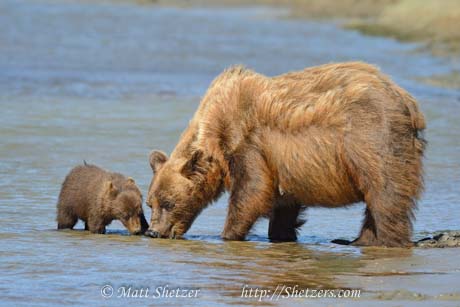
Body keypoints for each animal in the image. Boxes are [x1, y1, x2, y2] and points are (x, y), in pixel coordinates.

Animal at [146, 62, 426, 248]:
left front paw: (227, 234)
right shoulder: (281, 163)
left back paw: (384, 240)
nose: (154, 232)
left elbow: (251, 191)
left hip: (370, 137)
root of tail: (407, 101)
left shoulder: (249, 143)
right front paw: (282, 234)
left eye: (169, 203)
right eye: (151, 203)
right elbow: (284, 205)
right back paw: (358, 240)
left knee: (385, 193)